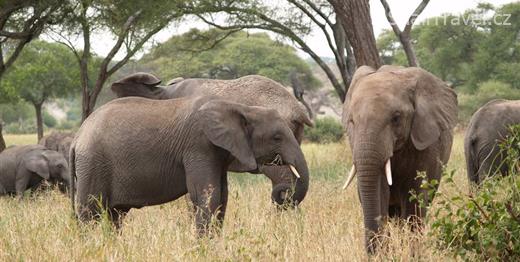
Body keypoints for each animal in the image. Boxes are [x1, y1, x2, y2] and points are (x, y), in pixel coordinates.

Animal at [71, 95, 310, 232]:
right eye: (277, 137)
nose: (283, 192)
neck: (242, 108)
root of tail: (77, 137)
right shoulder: (199, 146)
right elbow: (206, 196)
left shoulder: (218, 153)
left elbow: (222, 198)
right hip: (93, 164)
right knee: (90, 211)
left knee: (113, 215)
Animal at [342, 65, 460, 252]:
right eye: (351, 121)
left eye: (396, 118)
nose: (371, 253)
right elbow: (379, 193)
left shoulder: (425, 143)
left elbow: (415, 197)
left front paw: (411, 254)